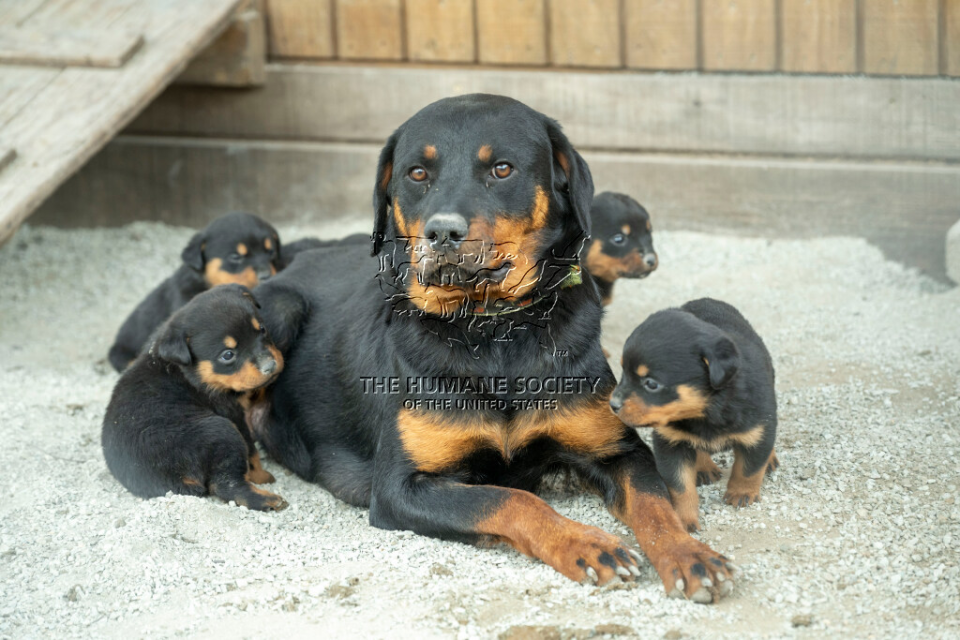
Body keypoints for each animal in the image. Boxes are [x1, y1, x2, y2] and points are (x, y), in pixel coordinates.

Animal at [104, 284, 286, 510]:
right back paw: (268, 499)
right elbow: (252, 453)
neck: (190, 374)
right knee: (227, 484)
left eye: (261, 329)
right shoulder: (234, 415)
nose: (270, 366)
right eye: (227, 355)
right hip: (220, 431)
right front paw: (261, 476)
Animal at [249, 92, 736, 604]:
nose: (442, 233)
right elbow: (511, 500)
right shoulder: (401, 488)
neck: (492, 332)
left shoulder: (617, 448)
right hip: (278, 310)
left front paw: (688, 554)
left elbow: (654, 504)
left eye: (502, 169)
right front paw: (585, 543)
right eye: (416, 173)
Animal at [612, 298, 776, 528]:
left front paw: (741, 493)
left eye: (651, 384)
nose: (612, 404)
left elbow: (749, 468)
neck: (704, 411)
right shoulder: (670, 442)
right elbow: (680, 486)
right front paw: (682, 518)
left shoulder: (758, 429)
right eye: (623, 373)